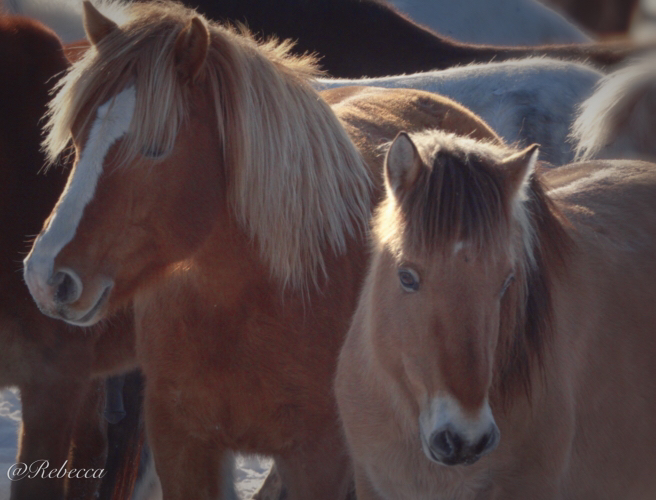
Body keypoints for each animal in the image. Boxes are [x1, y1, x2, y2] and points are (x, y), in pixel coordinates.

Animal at [21, 1, 504, 498]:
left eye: (154, 148)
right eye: (78, 137)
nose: (45, 277)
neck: (245, 304)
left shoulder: (319, 458)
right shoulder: (182, 445)